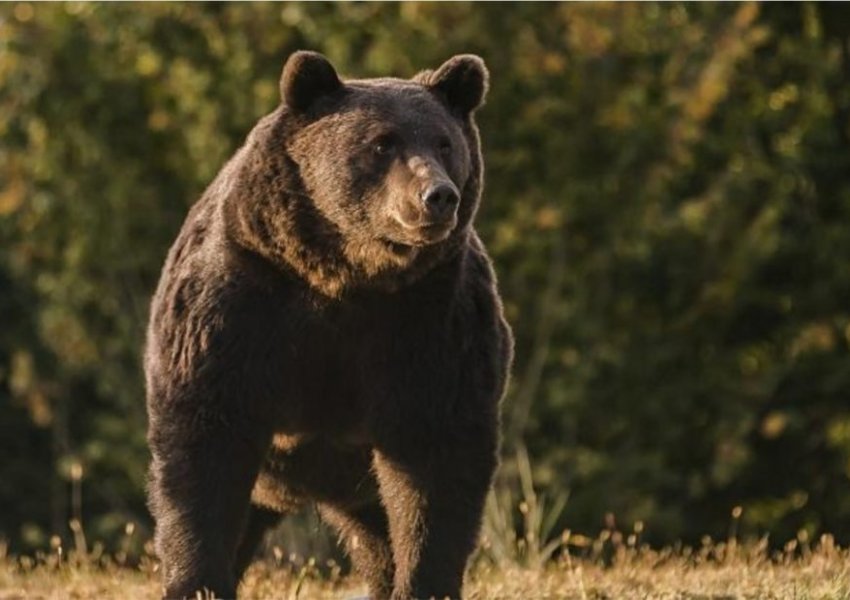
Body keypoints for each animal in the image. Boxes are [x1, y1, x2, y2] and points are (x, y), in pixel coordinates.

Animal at [144, 51, 510, 600]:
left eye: (445, 143)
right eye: (382, 142)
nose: (437, 196)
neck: (345, 275)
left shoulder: (431, 321)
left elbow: (435, 460)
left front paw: (424, 580)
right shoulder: (240, 304)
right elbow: (204, 446)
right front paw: (197, 582)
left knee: (378, 534)